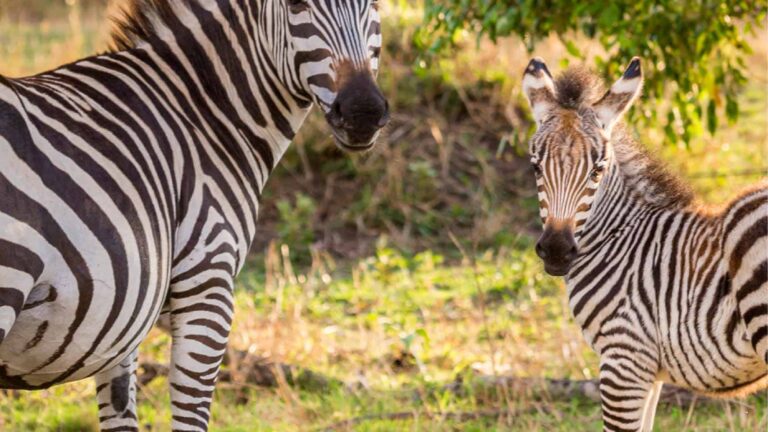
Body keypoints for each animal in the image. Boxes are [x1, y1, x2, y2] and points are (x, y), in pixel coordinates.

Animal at [0, 0, 388, 430]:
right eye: (295, 5)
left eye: (374, 4)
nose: (363, 113)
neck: (200, 113)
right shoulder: (208, 282)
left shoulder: (124, 316)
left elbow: (121, 411)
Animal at [521, 57, 767, 431]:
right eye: (536, 167)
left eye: (597, 170)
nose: (556, 251)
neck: (621, 241)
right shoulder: (649, 372)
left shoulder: (624, 358)